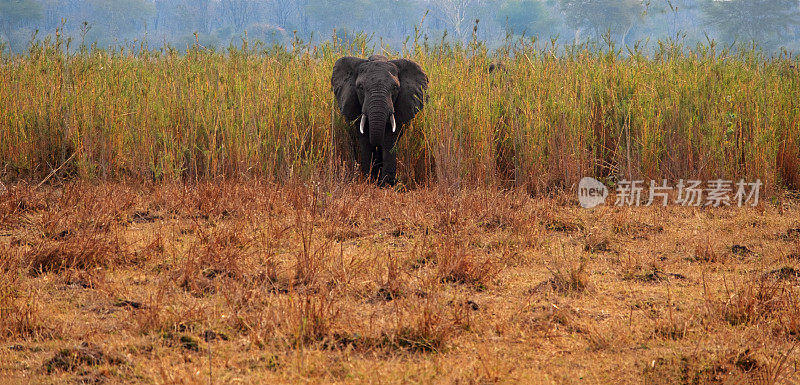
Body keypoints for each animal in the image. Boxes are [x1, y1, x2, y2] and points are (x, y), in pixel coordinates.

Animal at [332, 54, 428, 185]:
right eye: (360, 87)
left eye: (395, 87)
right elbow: (365, 139)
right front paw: (370, 181)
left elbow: (389, 139)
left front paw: (387, 184)